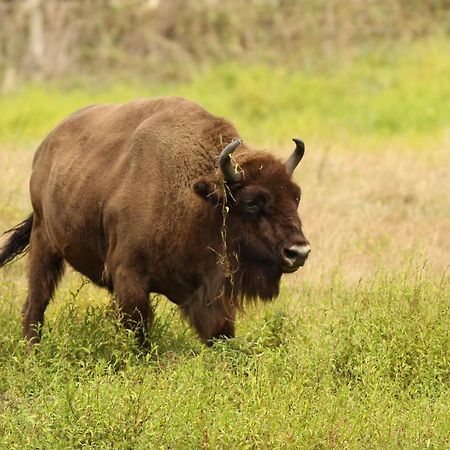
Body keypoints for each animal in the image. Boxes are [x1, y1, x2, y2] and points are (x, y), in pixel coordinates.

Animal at [0, 96, 310, 346]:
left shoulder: (212, 295)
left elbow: (220, 333)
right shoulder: (130, 280)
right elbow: (138, 335)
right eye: (251, 202)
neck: (198, 199)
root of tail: (45, 149)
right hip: (44, 243)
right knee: (36, 303)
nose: (299, 252)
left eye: (296, 196)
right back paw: (32, 352)